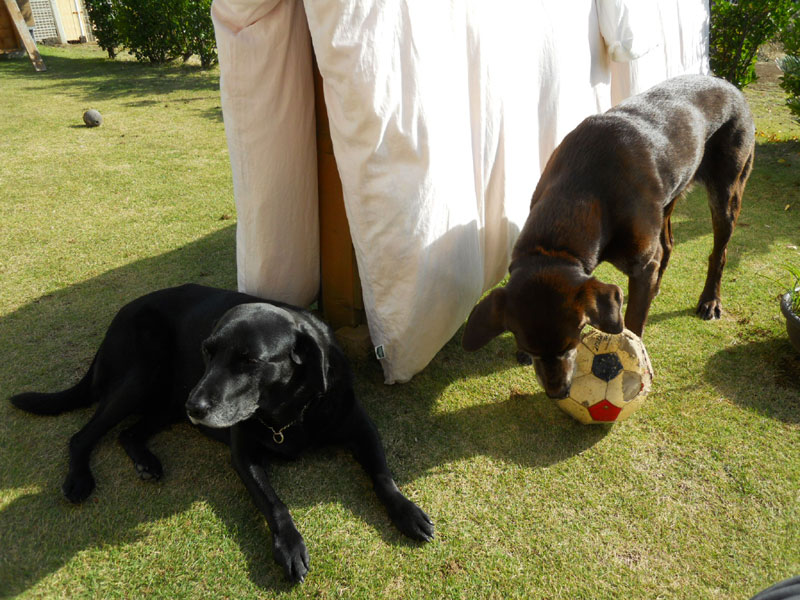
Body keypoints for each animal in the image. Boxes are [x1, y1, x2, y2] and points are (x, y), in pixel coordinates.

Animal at [10, 284, 433, 583]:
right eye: (207, 351)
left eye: (249, 361)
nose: (196, 407)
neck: (291, 410)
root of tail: (119, 316)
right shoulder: (243, 454)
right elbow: (274, 503)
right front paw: (289, 546)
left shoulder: (361, 426)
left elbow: (382, 476)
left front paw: (407, 512)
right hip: (145, 374)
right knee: (83, 435)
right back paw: (79, 479)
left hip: (165, 398)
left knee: (128, 433)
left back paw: (146, 462)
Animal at [462, 74, 755, 399]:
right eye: (527, 345)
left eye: (573, 341)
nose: (558, 392)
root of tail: (726, 83)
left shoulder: (641, 264)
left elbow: (634, 324)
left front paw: (637, 356)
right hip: (670, 198)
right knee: (667, 245)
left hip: (727, 191)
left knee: (719, 252)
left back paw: (710, 301)